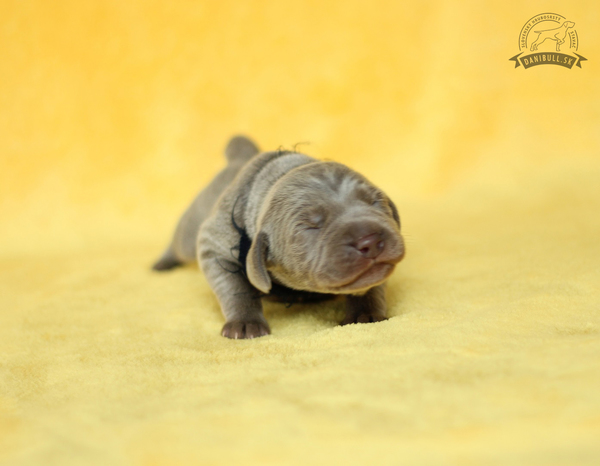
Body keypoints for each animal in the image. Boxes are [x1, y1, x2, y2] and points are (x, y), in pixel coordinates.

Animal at [155, 135, 406, 338]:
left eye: (375, 202)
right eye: (310, 226)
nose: (370, 241)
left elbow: (372, 285)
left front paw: (366, 313)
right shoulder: (214, 246)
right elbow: (236, 287)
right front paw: (245, 323)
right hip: (192, 227)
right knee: (179, 240)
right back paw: (163, 263)